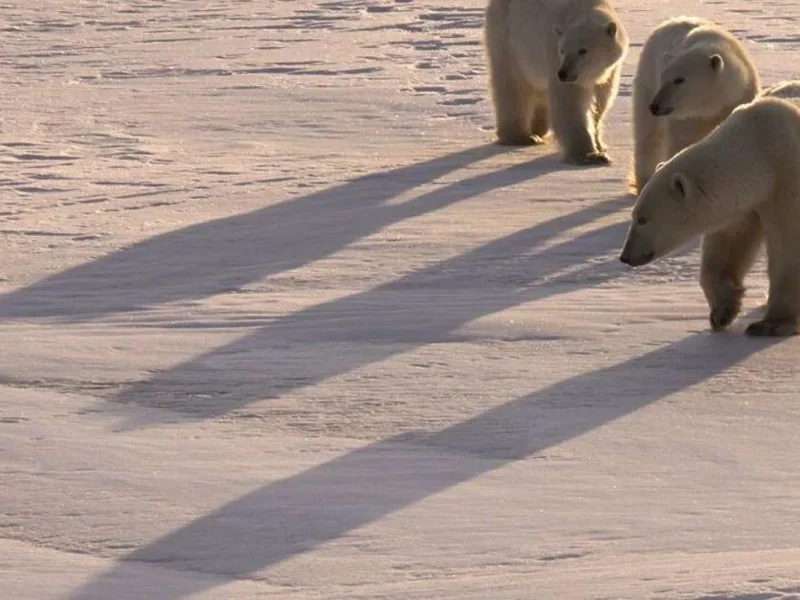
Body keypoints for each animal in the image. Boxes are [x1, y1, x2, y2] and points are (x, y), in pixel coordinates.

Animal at [484, 0, 629, 165]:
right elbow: (570, 102)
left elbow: (601, 101)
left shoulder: (610, 72)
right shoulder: (555, 56)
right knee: (513, 84)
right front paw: (590, 156)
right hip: (508, 37)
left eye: (583, 51)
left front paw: (600, 145)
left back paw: (538, 127)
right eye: (562, 50)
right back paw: (522, 137)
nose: (563, 73)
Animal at [619, 96, 800, 337]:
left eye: (642, 219)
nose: (625, 256)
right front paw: (723, 310)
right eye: (634, 215)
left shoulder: (786, 181)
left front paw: (771, 323)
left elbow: (788, 245)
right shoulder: (745, 203)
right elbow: (728, 243)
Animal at [630, 17, 759, 193]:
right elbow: (683, 144)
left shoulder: (739, 98)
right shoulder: (689, 117)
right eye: (663, 78)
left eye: (679, 79)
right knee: (648, 135)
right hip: (647, 77)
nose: (655, 106)